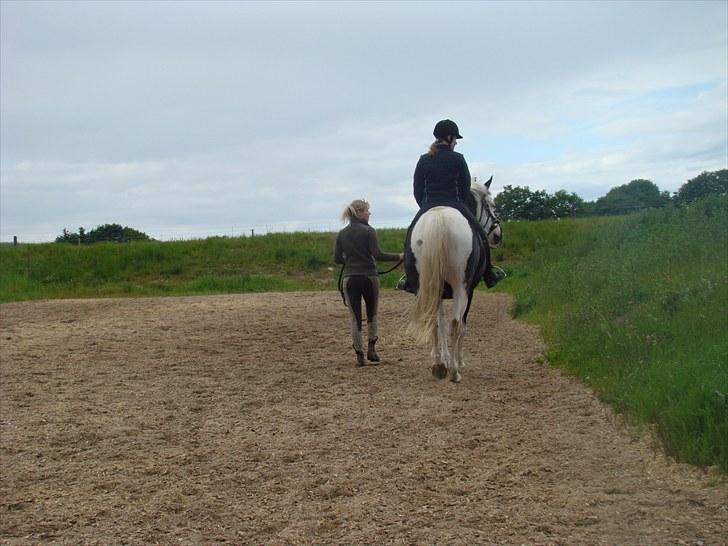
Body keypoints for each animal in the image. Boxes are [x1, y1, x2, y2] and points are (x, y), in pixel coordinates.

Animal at [406, 176, 504, 380]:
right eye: (492, 205)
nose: (498, 235)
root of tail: (439, 219)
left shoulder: (439, 292)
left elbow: (441, 324)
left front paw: (443, 358)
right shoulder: (470, 290)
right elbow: (461, 325)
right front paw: (458, 360)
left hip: (426, 287)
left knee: (434, 321)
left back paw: (438, 366)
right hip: (461, 287)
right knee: (456, 323)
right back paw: (454, 371)